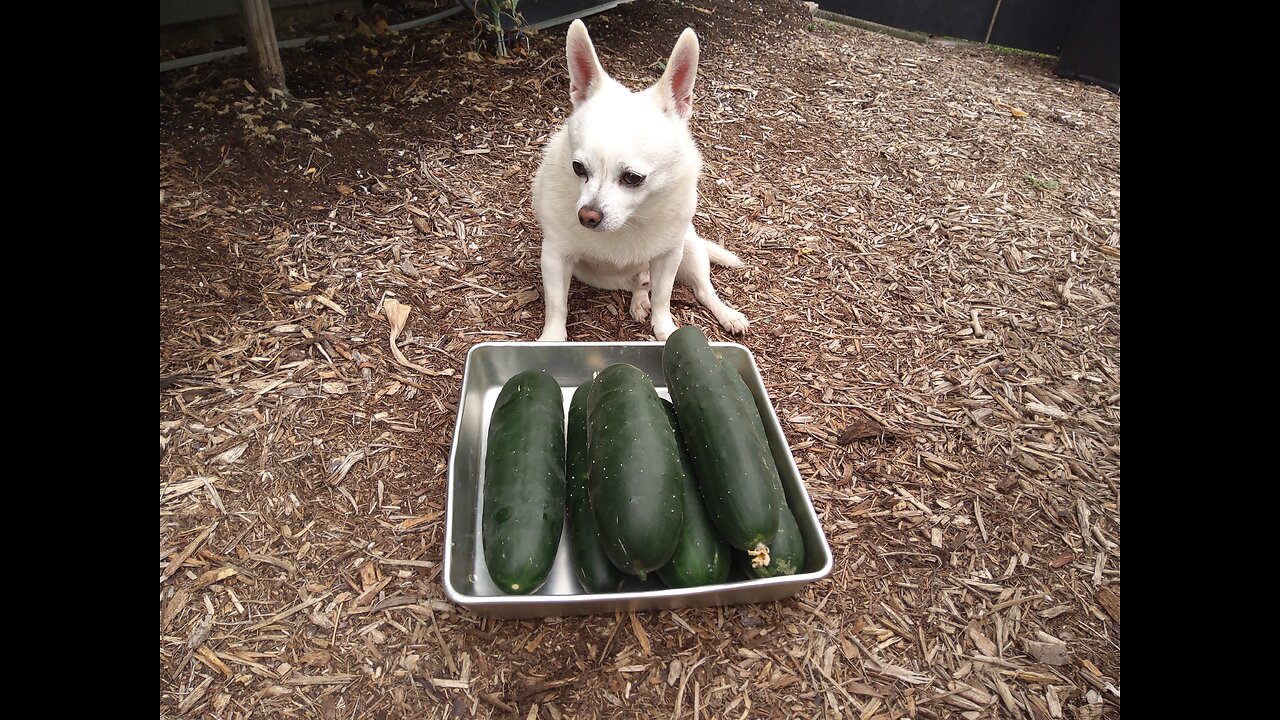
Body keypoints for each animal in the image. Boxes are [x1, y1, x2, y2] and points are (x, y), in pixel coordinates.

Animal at [532, 19, 747, 338]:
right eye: (578, 168)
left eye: (633, 178)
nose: (587, 216)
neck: (631, 221)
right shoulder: (555, 258)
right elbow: (557, 305)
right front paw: (552, 338)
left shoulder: (669, 256)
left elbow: (664, 296)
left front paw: (665, 329)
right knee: (639, 283)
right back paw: (638, 300)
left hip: (690, 249)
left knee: (702, 289)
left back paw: (727, 314)